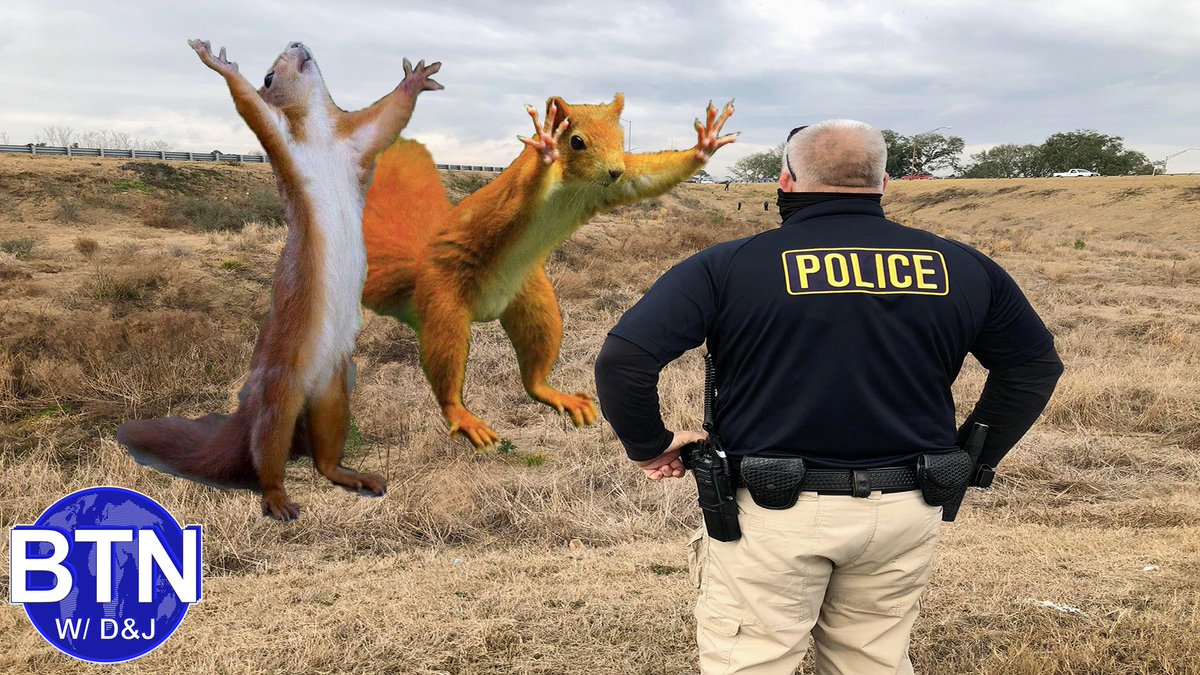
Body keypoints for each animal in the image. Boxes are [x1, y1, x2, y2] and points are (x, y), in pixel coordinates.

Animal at [116, 40, 443, 520]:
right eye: (269, 74)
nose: (296, 43)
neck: (322, 139)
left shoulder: (357, 142)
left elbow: (388, 116)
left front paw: (418, 78)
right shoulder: (283, 141)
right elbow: (252, 109)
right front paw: (219, 63)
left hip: (334, 393)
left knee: (325, 457)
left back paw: (354, 476)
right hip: (278, 394)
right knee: (266, 454)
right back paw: (278, 500)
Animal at [361, 94, 735, 447]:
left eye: (620, 138)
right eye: (576, 141)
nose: (614, 170)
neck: (574, 184)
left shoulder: (614, 186)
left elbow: (644, 179)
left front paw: (705, 144)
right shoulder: (516, 194)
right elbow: (525, 188)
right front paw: (544, 146)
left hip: (535, 303)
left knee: (534, 372)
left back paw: (557, 395)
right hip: (444, 301)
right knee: (446, 359)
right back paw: (463, 416)